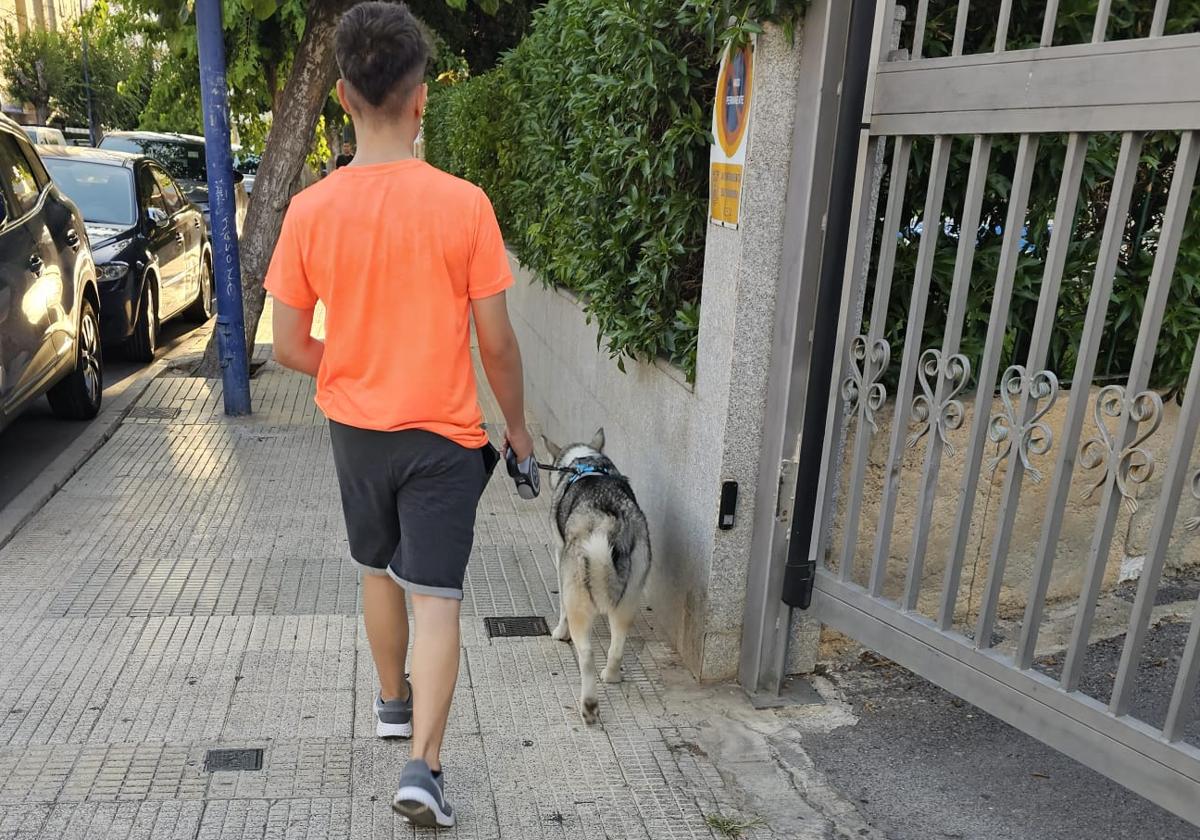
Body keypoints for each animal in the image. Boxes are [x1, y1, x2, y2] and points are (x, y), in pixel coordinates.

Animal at [542, 429, 652, 724]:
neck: (585, 461)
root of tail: (609, 523)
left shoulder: (559, 556)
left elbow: (561, 609)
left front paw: (559, 633)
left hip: (579, 601)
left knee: (587, 655)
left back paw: (589, 705)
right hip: (629, 598)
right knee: (617, 644)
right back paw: (611, 676)